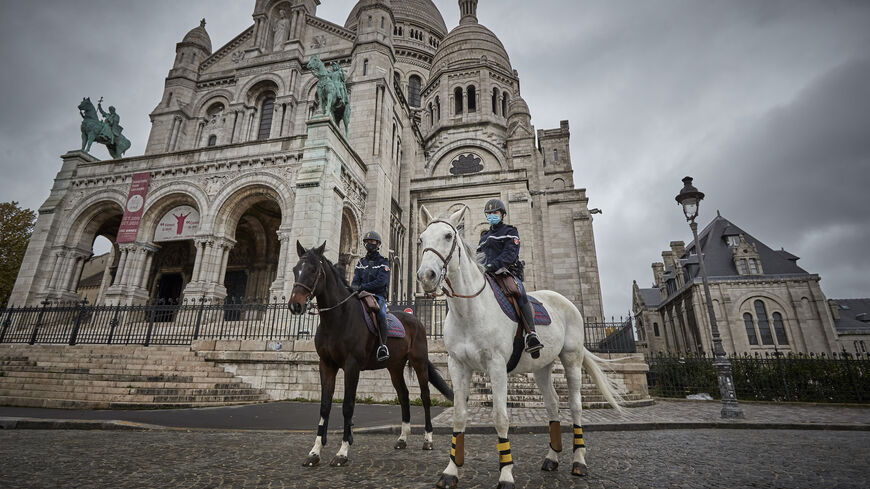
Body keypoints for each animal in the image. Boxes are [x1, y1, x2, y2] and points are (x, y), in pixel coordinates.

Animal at [292, 242, 456, 468]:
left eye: (313, 270)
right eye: (294, 269)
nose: (295, 305)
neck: (336, 318)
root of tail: (415, 319)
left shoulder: (352, 366)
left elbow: (347, 406)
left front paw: (343, 451)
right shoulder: (325, 365)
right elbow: (324, 407)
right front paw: (315, 451)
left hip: (420, 362)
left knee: (424, 396)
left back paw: (428, 439)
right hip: (394, 366)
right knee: (404, 395)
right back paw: (402, 438)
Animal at [414, 206, 620, 488]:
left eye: (448, 236)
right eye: (421, 239)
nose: (426, 276)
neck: (468, 310)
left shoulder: (497, 366)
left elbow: (501, 418)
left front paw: (506, 474)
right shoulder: (457, 366)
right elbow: (458, 415)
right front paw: (451, 471)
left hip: (571, 359)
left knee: (575, 406)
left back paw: (579, 461)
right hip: (542, 366)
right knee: (553, 404)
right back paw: (552, 458)